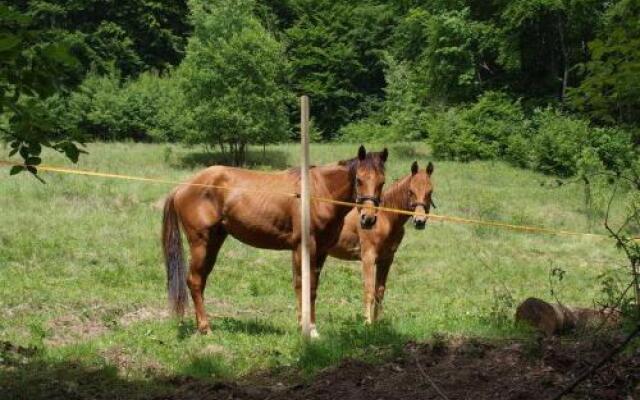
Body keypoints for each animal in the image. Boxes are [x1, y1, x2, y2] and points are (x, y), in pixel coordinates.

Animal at [162, 145, 388, 336]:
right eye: (359, 179)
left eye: (382, 182)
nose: (368, 219)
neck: (318, 193)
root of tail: (182, 187)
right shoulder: (303, 247)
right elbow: (302, 284)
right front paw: (305, 328)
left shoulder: (321, 251)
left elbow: (313, 288)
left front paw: (312, 327)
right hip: (200, 243)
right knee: (194, 281)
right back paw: (205, 328)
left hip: (213, 243)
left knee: (200, 281)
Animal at [330, 161, 436, 324]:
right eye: (410, 191)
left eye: (430, 192)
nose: (419, 221)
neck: (385, 218)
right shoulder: (368, 258)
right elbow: (368, 291)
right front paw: (367, 323)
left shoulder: (386, 260)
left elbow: (379, 292)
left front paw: (377, 323)